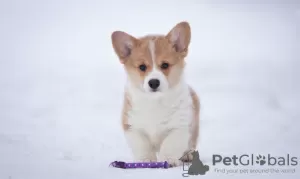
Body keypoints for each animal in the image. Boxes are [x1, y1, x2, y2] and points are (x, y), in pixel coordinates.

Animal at [110, 22, 199, 166]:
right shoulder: (132, 126)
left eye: (165, 65)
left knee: (191, 144)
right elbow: (142, 145)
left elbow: (170, 144)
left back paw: (188, 155)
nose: (153, 82)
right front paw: (145, 160)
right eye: (142, 67)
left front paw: (168, 159)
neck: (155, 101)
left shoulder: (180, 126)